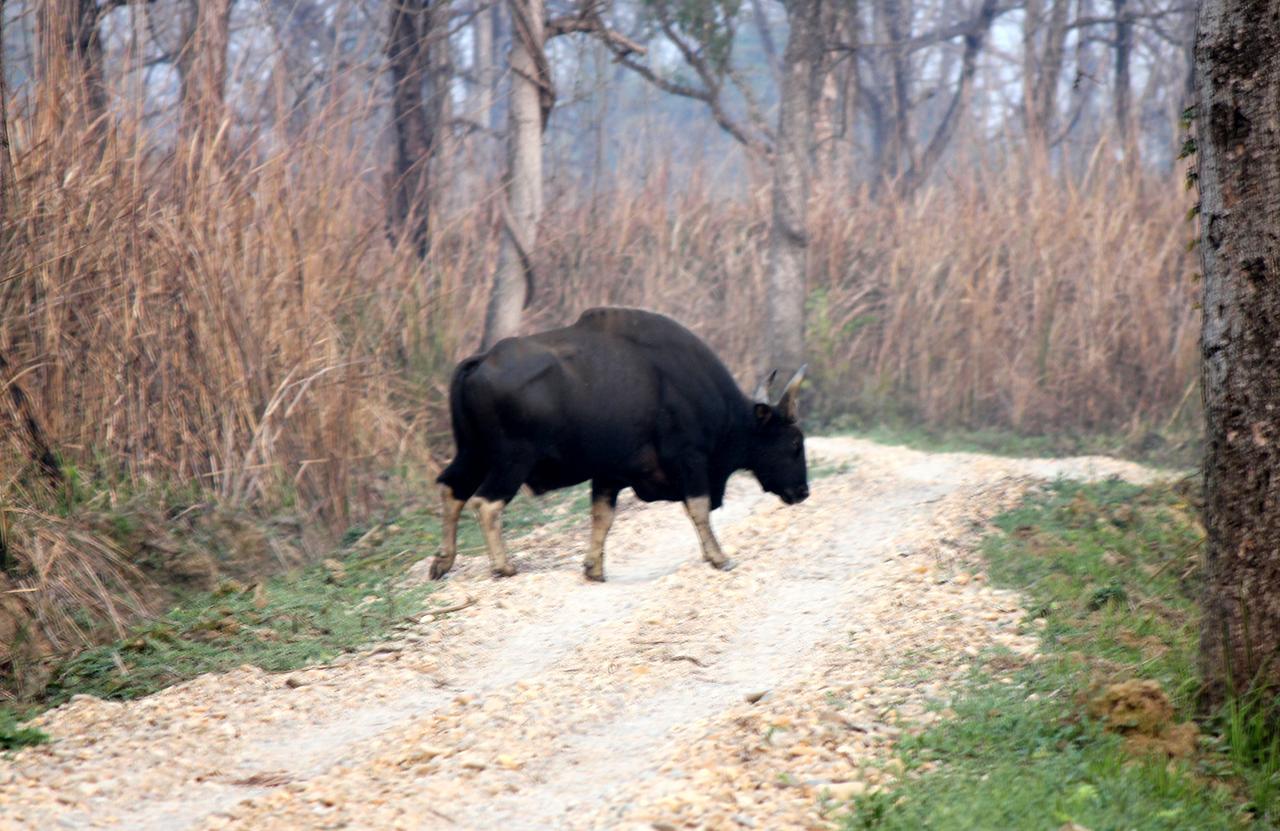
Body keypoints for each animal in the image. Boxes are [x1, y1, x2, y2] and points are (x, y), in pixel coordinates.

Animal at [430, 306, 808, 583]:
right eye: (794, 441)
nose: (803, 491)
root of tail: (480, 361)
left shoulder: (609, 474)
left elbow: (602, 516)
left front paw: (594, 568)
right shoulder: (690, 459)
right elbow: (699, 509)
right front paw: (719, 558)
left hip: (473, 452)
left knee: (451, 488)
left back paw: (443, 562)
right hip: (512, 460)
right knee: (486, 504)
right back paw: (503, 566)